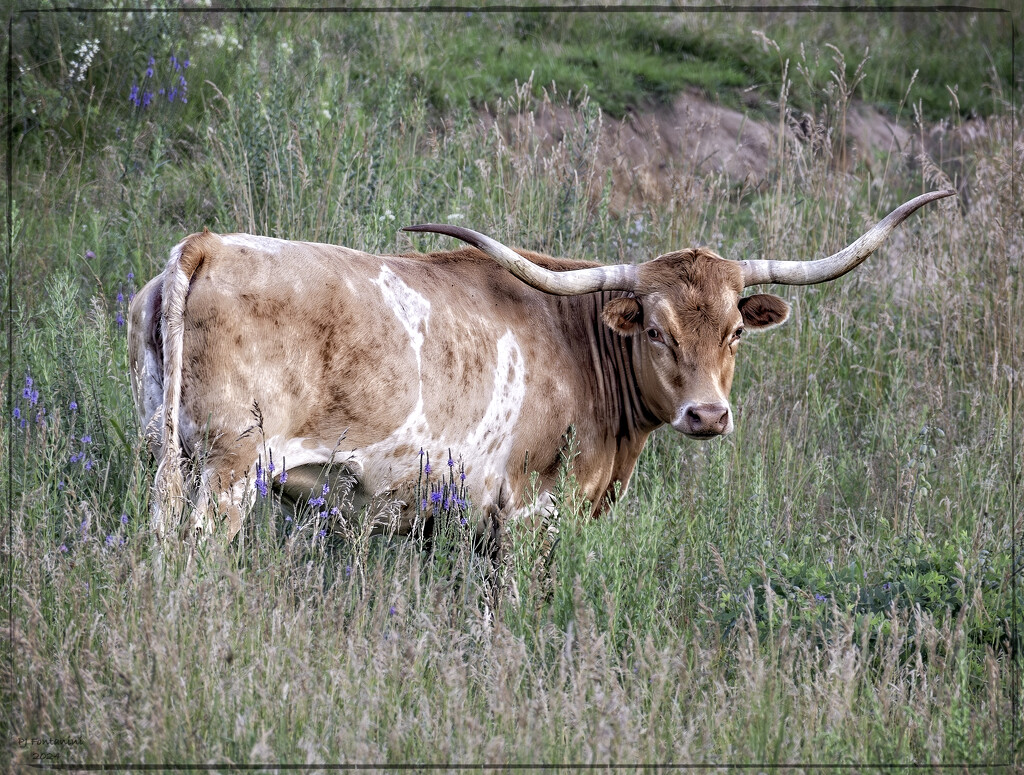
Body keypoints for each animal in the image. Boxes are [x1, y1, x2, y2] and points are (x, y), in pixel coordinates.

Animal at [125, 189, 950, 536]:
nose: (709, 414)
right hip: (230, 469)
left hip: (164, 457)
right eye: (655, 329)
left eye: (735, 331)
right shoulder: (527, 506)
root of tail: (206, 244)